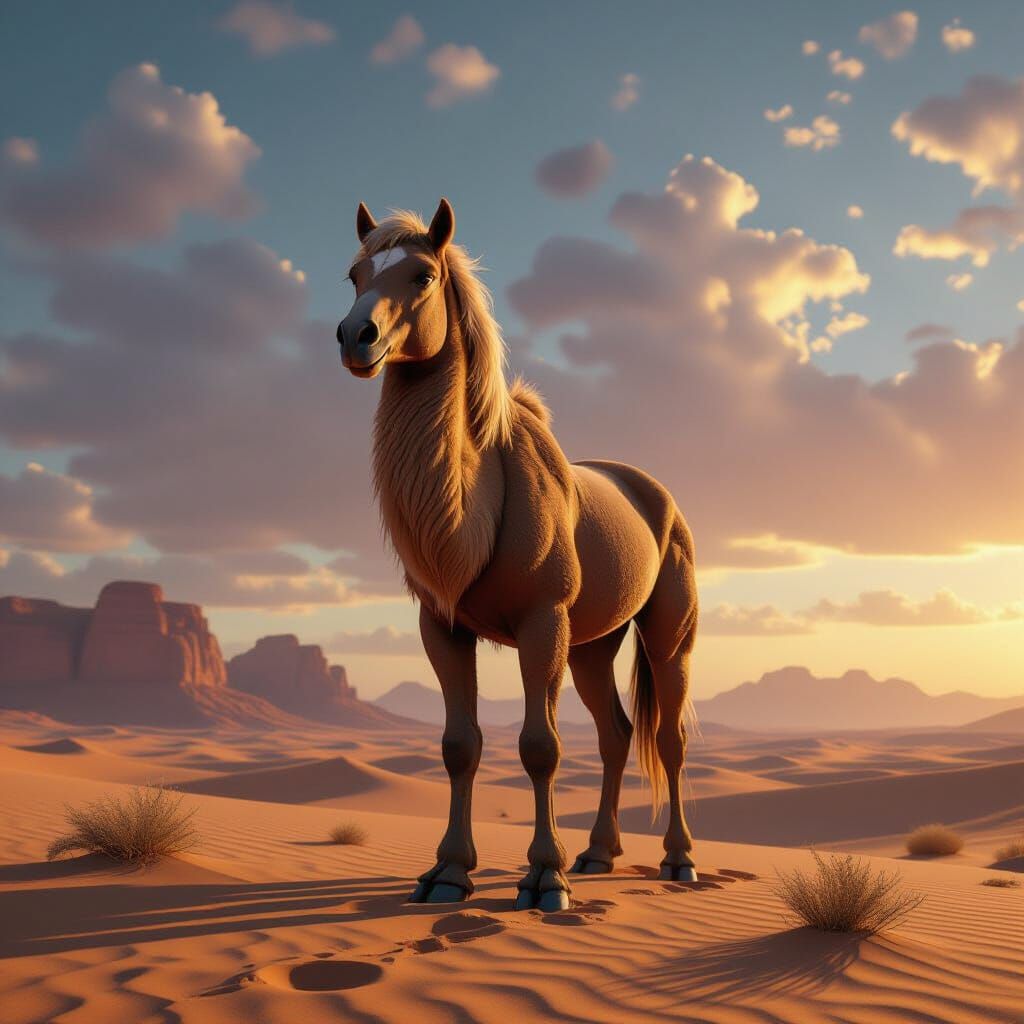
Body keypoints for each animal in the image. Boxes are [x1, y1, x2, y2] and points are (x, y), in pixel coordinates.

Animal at [336, 198, 699, 911]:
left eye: (422, 275)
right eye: (356, 274)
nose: (355, 337)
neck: (477, 506)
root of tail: (659, 498)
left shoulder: (541, 623)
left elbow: (540, 746)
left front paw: (545, 879)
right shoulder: (443, 627)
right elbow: (459, 745)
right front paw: (448, 873)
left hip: (664, 639)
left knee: (667, 740)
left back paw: (677, 861)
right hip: (591, 646)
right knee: (615, 736)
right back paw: (597, 853)